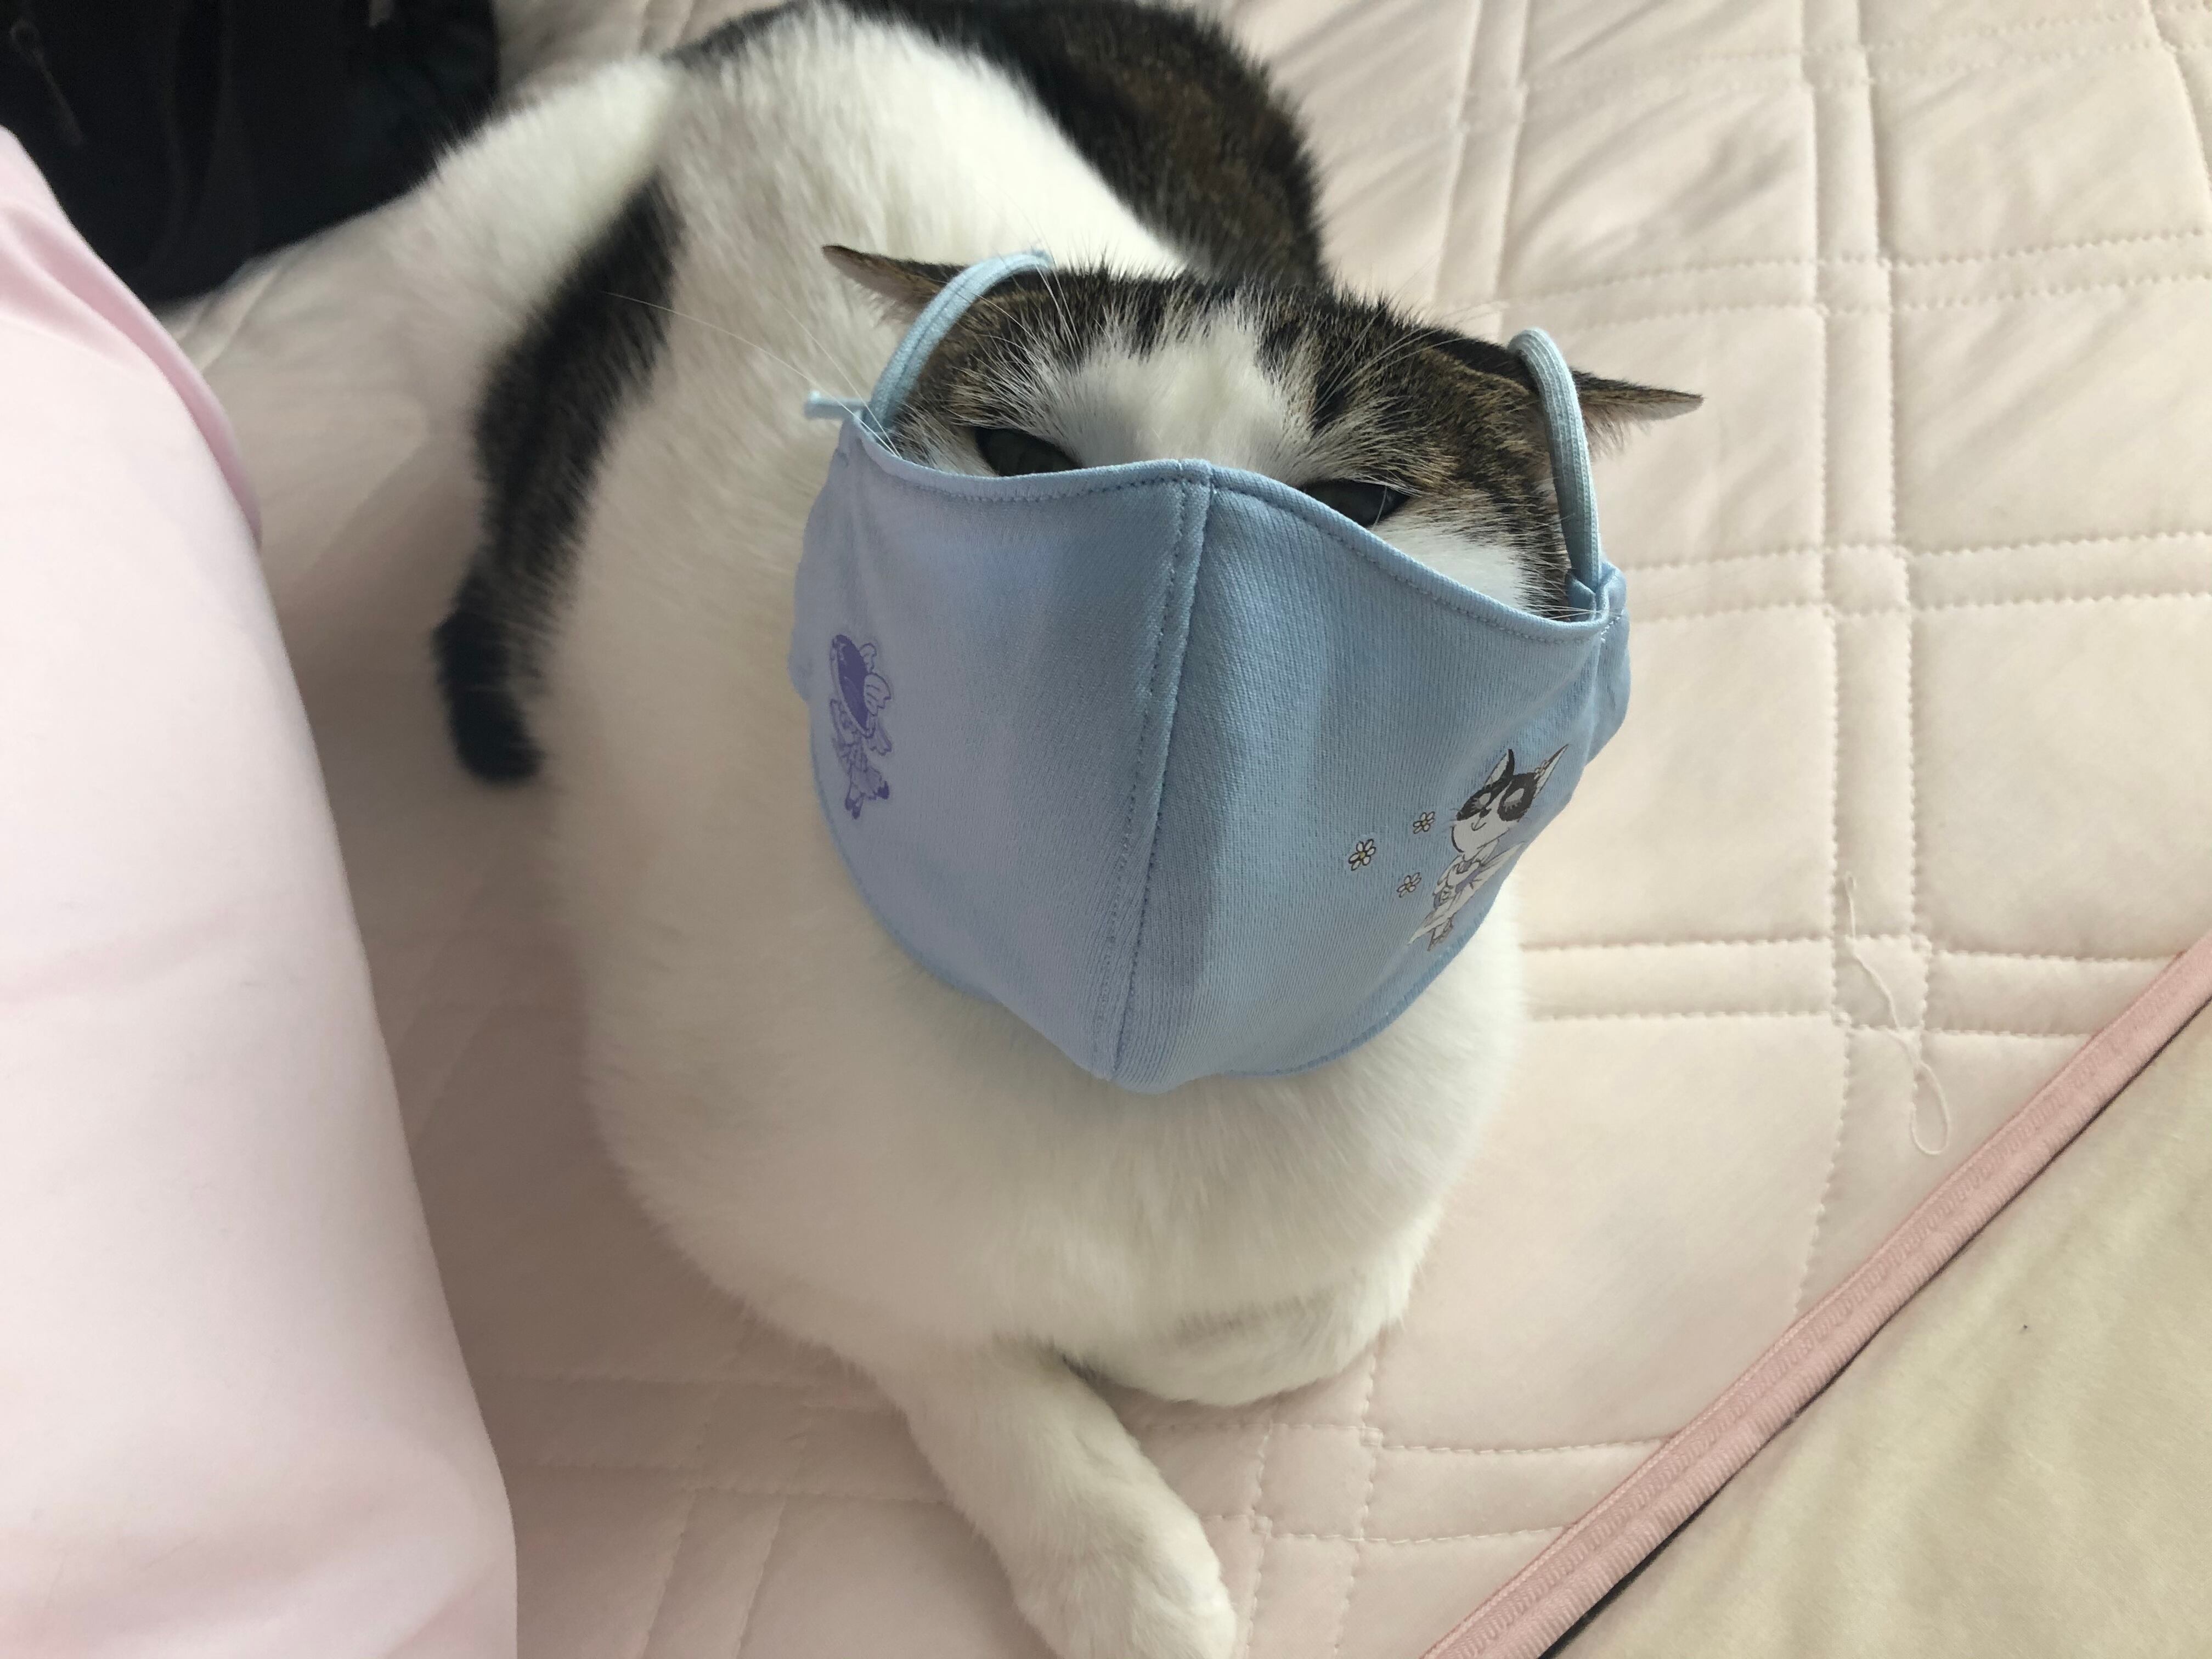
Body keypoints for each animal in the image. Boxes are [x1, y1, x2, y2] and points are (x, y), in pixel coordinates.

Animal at [392, 4, 1696, 1656]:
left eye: (1356, 498)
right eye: (1023, 461)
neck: (1136, 1075)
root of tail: (771, 27)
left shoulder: (1438, 1055)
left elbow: (1329, 1306)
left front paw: (1165, 1361)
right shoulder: (705, 1167)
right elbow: (950, 1351)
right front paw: (1118, 1560)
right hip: (459, 245)